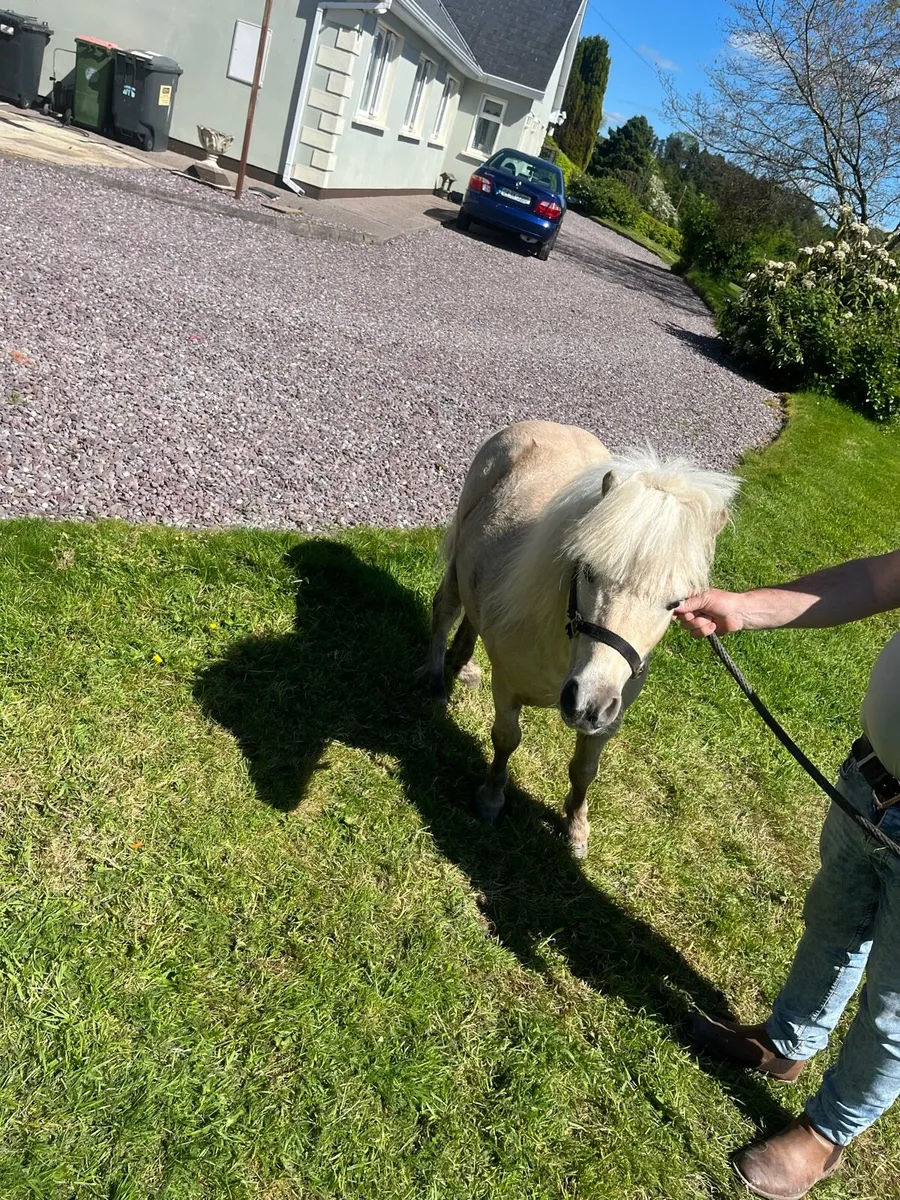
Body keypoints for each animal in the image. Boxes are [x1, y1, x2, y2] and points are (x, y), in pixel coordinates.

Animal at [420, 420, 739, 858]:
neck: (564, 651)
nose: (589, 703)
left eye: (675, 603)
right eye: (587, 571)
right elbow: (506, 739)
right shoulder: (507, 688)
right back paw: (437, 681)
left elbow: (584, 769)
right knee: (446, 611)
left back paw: (464, 664)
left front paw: (575, 826)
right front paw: (491, 799)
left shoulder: (609, 720)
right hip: (456, 565)